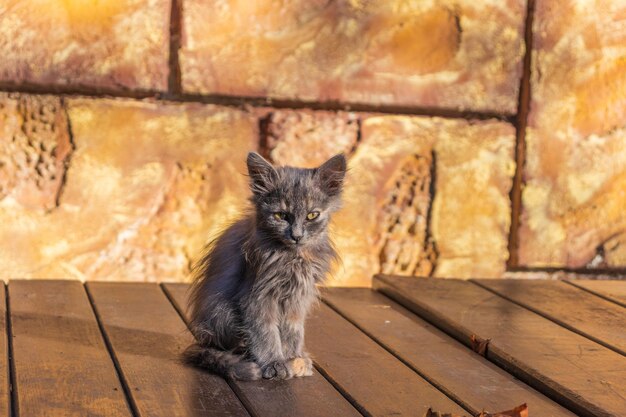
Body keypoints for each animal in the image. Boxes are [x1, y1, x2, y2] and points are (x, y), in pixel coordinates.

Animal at [183, 151, 348, 378]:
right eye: (281, 215)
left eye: (312, 215)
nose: (296, 235)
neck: (292, 257)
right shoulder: (256, 296)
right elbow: (266, 333)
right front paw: (275, 363)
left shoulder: (298, 298)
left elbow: (293, 332)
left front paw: (293, 358)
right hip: (222, 312)